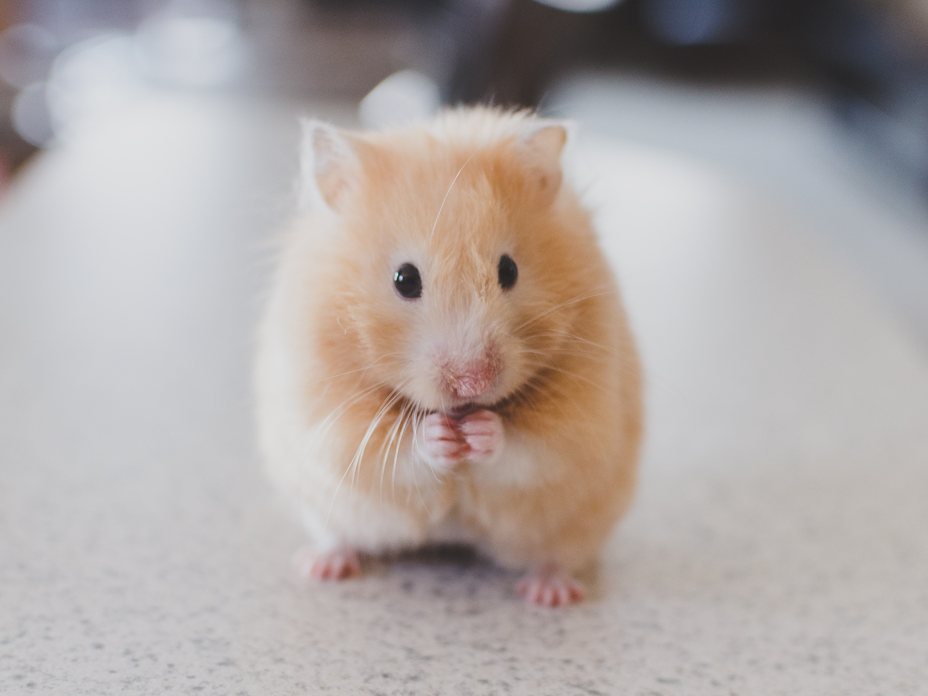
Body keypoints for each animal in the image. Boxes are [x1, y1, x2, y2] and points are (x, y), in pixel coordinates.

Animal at [255, 107, 642, 606]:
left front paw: (480, 432)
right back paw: (321, 566)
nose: (473, 383)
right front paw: (440, 435)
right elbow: (395, 450)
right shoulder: (328, 419)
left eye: (509, 270)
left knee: (556, 555)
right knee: (339, 535)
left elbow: (530, 449)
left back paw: (549, 593)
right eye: (404, 279)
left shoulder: (582, 422)